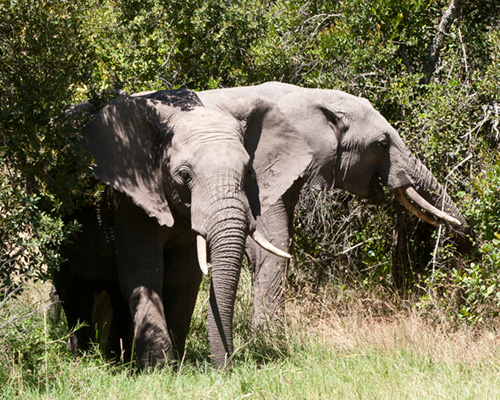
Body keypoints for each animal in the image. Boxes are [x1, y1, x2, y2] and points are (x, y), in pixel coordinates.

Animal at [54, 88, 312, 368]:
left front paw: (175, 365)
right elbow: (145, 273)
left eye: (248, 173)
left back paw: (116, 362)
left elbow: (184, 280)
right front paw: (159, 368)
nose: (226, 369)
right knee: (72, 292)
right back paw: (83, 359)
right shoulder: (130, 197)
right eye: (185, 175)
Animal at [196, 81, 468, 328]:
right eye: (382, 144)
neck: (311, 96)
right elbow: (274, 244)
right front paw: (268, 337)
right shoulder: (260, 167)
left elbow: (278, 242)